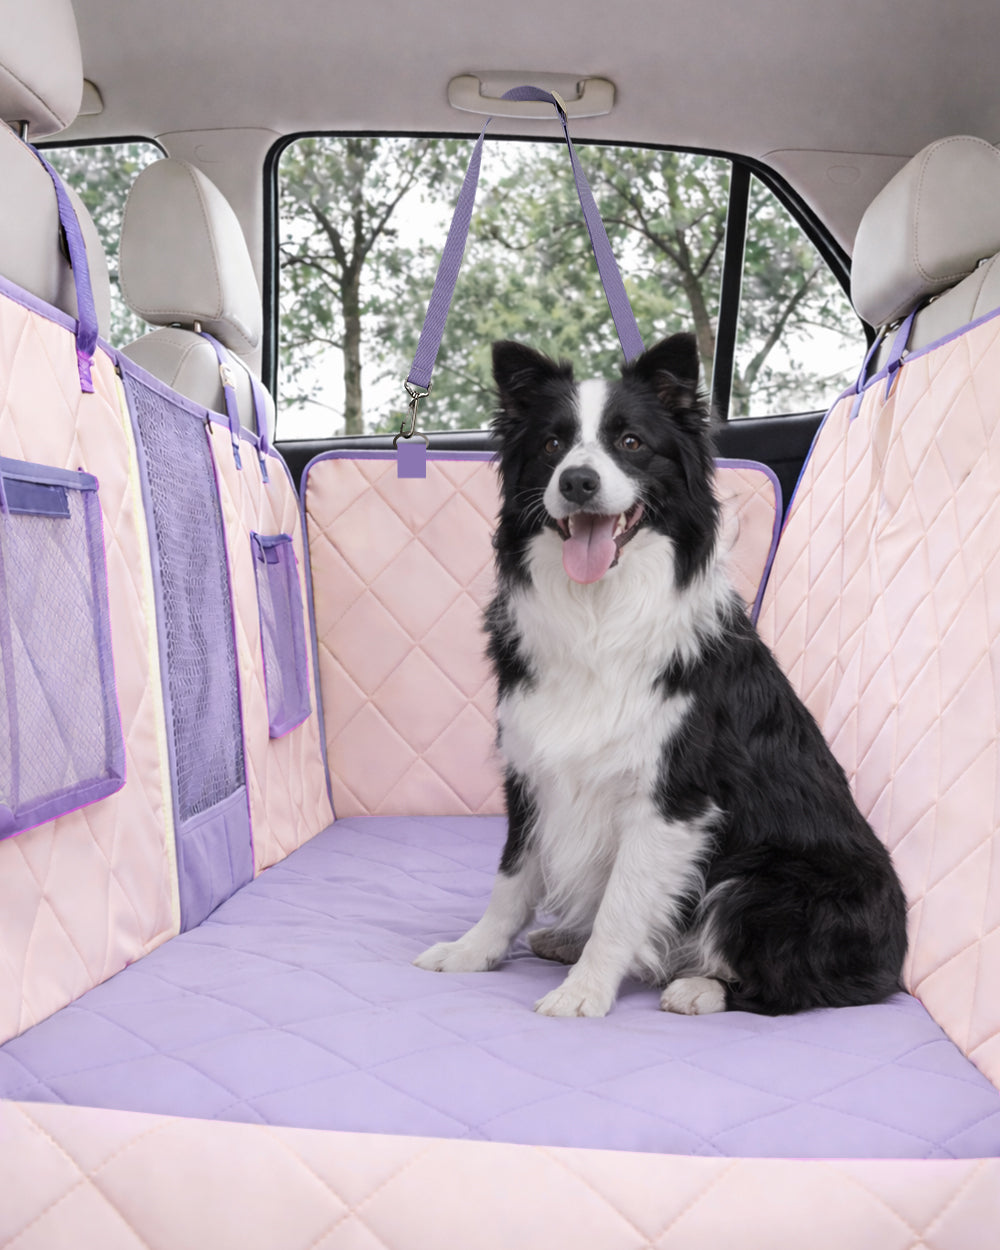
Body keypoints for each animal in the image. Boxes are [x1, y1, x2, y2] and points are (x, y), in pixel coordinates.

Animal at [414, 332, 907, 1018]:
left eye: (631, 442)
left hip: (763, 882)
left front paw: (586, 991)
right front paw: (472, 951)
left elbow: (622, 906)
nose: (579, 481)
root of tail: (895, 957)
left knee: (790, 983)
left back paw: (698, 986)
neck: (600, 609)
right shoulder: (531, 768)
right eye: (552, 445)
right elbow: (511, 878)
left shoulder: (673, 798)